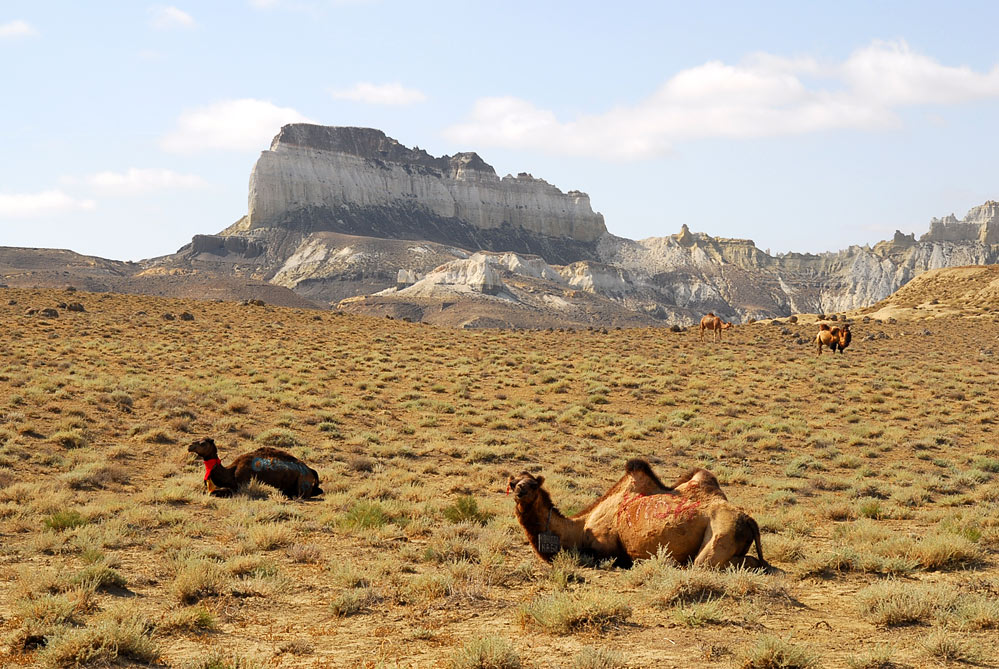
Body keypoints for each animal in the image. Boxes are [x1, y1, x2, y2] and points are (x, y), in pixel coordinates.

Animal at [188, 436, 324, 498]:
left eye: (202, 443)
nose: (190, 446)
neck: (230, 472)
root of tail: (310, 470)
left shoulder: (240, 486)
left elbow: (213, 492)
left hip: (302, 481)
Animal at [512, 460, 768, 568]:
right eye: (512, 481)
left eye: (532, 485)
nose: (519, 490)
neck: (579, 528)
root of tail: (750, 520)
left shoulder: (604, 547)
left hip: (721, 532)